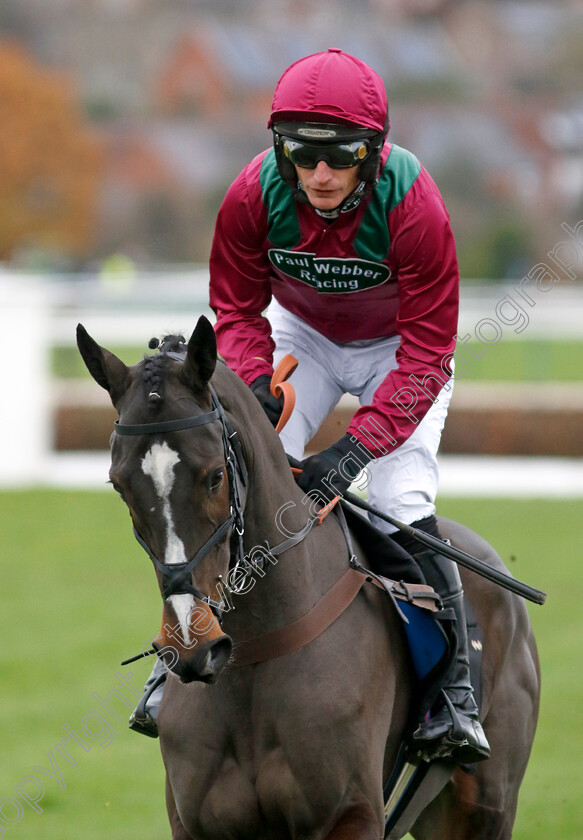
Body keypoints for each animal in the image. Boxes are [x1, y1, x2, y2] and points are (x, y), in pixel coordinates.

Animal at [78, 316, 544, 840]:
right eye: (119, 485)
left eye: (215, 476)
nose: (192, 643)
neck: (257, 653)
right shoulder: (196, 823)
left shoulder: (351, 814)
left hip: (484, 806)